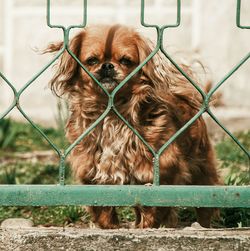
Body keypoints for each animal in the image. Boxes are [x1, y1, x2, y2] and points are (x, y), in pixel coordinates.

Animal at [45, 24, 221, 228]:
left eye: (126, 61)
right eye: (92, 60)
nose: (107, 66)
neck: (112, 113)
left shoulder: (162, 169)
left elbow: (153, 207)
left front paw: (147, 226)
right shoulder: (90, 172)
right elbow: (103, 209)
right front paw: (110, 227)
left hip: (202, 169)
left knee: (204, 203)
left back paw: (202, 225)